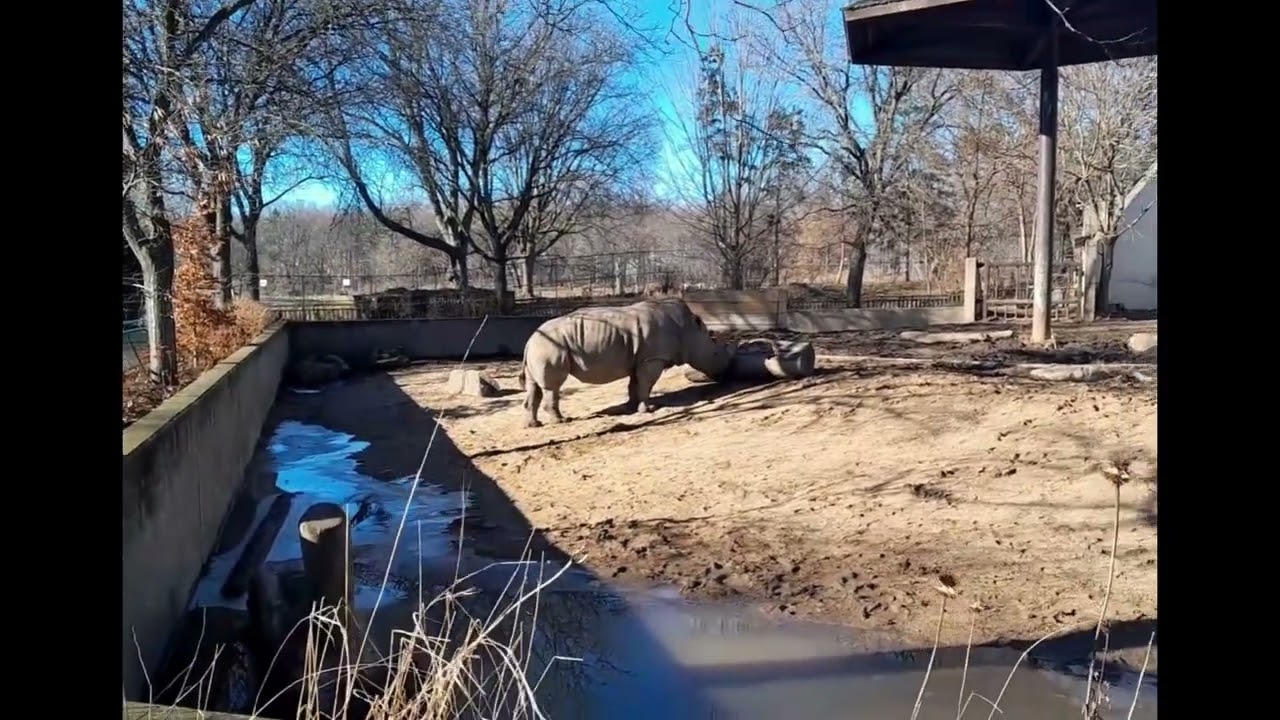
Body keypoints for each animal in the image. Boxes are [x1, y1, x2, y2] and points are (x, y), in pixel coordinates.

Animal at [517, 297, 733, 427]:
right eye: (716, 353)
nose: (725, 370)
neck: (689, 331)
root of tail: (529, 341)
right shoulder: (652, 358)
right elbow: (646, 384)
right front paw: (648, 409)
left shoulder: (640, 360)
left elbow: (634, 384)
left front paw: (631, 407)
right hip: (550, 347)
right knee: (552, 387)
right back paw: (562, 421)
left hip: (540, 348)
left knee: (534, 387)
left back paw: (534, 425)